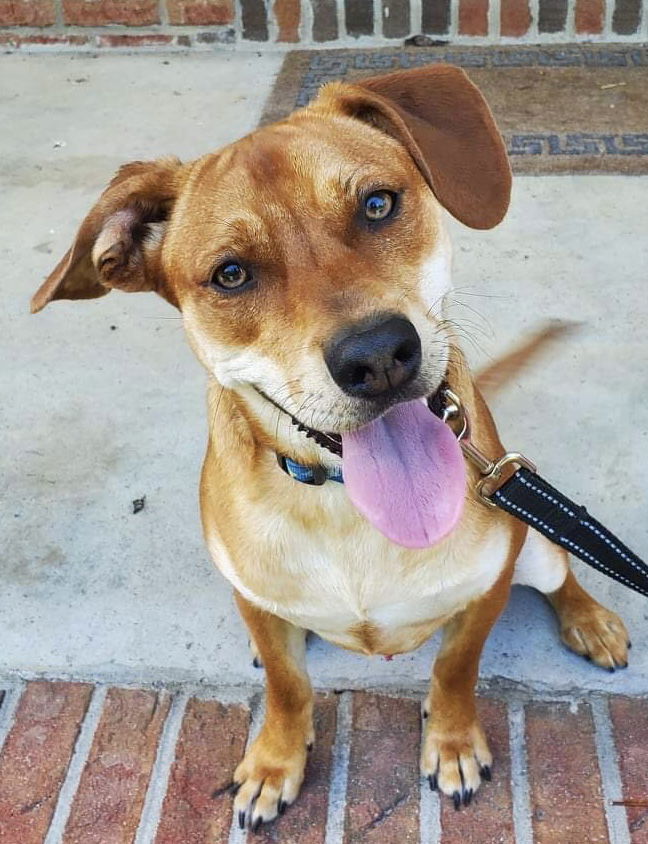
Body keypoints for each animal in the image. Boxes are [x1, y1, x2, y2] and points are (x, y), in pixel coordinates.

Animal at [31, 67, 628, 832]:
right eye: (230, 274)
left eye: (377, 205)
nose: (377, 356)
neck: (348, 509)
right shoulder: (255, 598)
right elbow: (289, 688)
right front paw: (274, 761)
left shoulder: (486, 590)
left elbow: (455, 669)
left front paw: (452, 741)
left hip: (535, 537)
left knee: (563, 568)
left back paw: (590, 619)